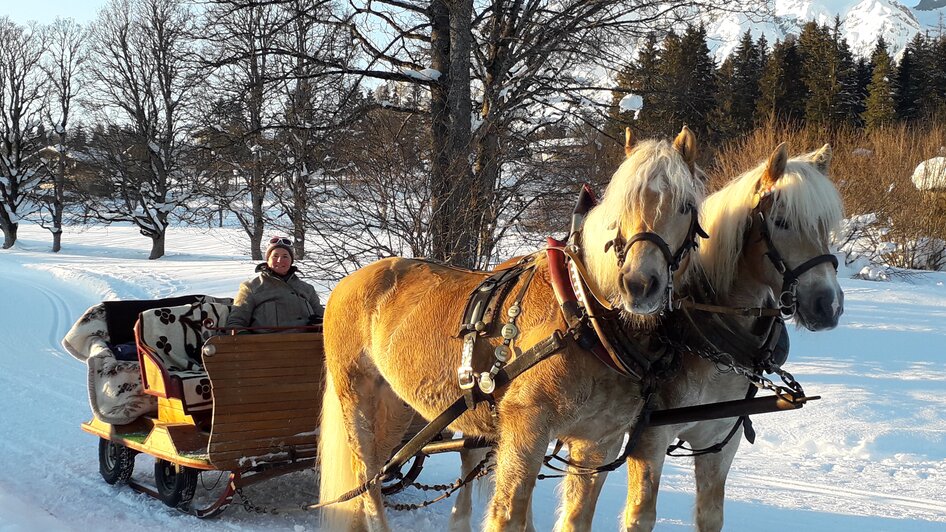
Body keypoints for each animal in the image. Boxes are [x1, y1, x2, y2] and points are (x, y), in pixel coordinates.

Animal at [320, 125, 704, 532]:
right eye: (621, 207)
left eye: (685, 206)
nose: (638, 285)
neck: (584, 316)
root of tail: (349, 282)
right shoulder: (526, 428)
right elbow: (508, 514)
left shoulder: (599, 441)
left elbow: (576, 519)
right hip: (357, 398)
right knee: (367, 478)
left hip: (396, 408)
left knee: (376, 471)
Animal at [624, 143, 844, 528]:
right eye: (781, 222)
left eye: (825, 225)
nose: (828, 305)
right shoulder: (648, 440)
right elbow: (640, 516)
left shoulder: (720, 440)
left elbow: (711, 515)